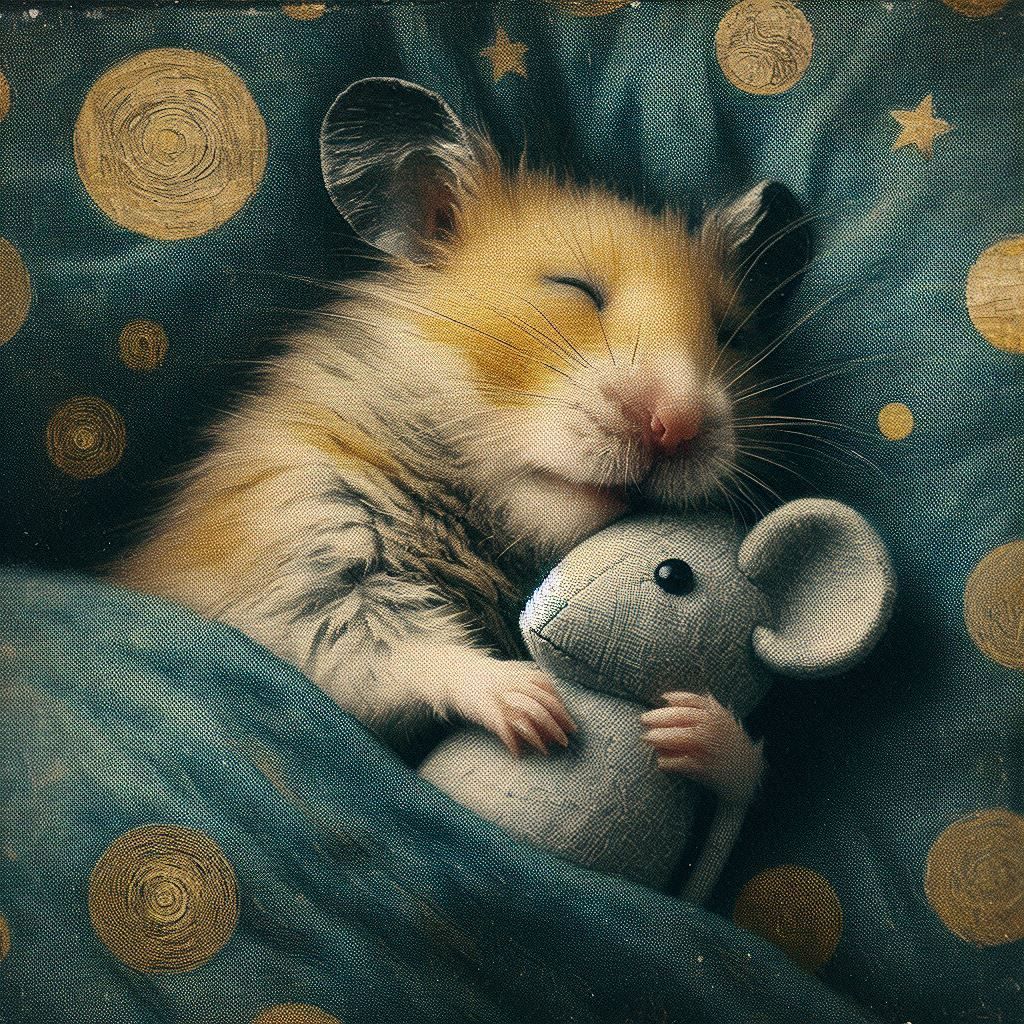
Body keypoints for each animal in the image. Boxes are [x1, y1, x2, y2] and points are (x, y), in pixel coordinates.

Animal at [113, 78, 812, 762]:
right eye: (574, 287)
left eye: (731, 335)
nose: (676, 425)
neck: (477, 511)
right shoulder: (296, 570)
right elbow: (399, 649)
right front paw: (538, 712)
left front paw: (699, 728)